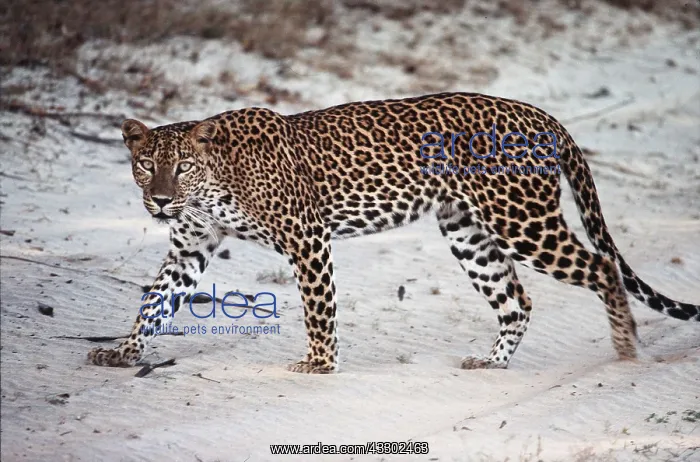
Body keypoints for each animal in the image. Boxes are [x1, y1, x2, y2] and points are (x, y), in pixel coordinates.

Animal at [88, 92, 699, 373]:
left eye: (183, 167)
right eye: (146, 165)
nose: (159, 199)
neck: (215, 185)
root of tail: (542, 116)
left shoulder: (306, 236)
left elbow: (318, 308)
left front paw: (319, 365)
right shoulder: (191, 247)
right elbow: (154, 300)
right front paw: (124, 350)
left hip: (521, 220)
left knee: (601, 266)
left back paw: (625, 348)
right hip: (466, 231)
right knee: (517, 300)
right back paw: (492, 363)